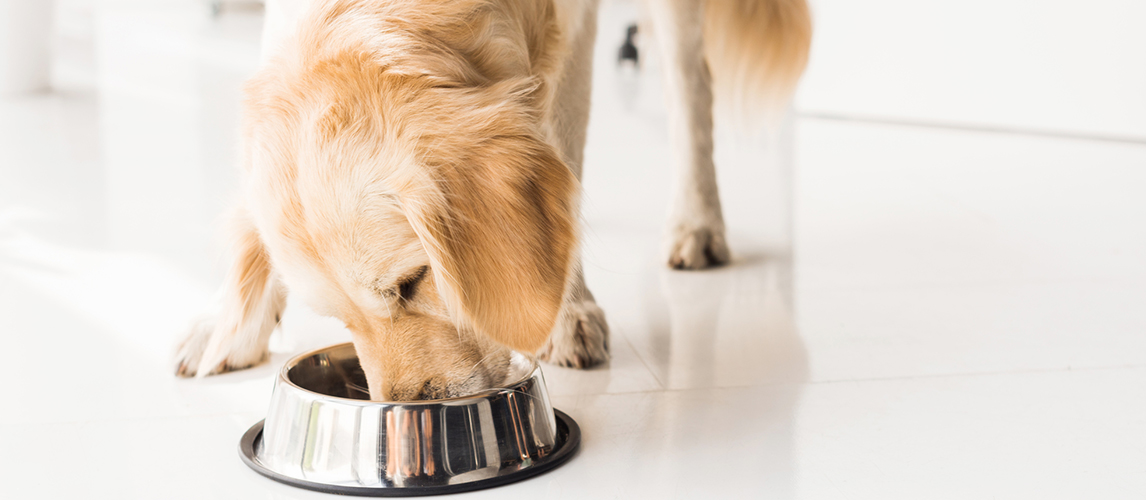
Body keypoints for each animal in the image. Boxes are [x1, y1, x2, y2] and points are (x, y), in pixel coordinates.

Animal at [174, 0, 811, 401]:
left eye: (411, 283)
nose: (409, 406)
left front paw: (567, 311)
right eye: (338, 319)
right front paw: (228, 322)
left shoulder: (572, 26)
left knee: (689, 81)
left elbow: (561, 139)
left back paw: (696, 221)